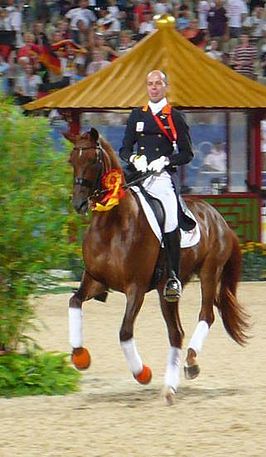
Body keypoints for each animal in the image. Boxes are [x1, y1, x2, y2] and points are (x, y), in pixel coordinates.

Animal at [65, 127, 248, 402]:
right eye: (71, 161)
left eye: (93, 161)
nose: (79, 204)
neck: (113, 226)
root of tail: (219, 218)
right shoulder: (95, 280)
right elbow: (74, 301)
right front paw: (80, 357)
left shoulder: (136, 288)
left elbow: (125, 332)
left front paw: (143, 374)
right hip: (166, 290)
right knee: (176, 333)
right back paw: (170, 387)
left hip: (209, 272)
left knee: (205, 315)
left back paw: (190, 363)